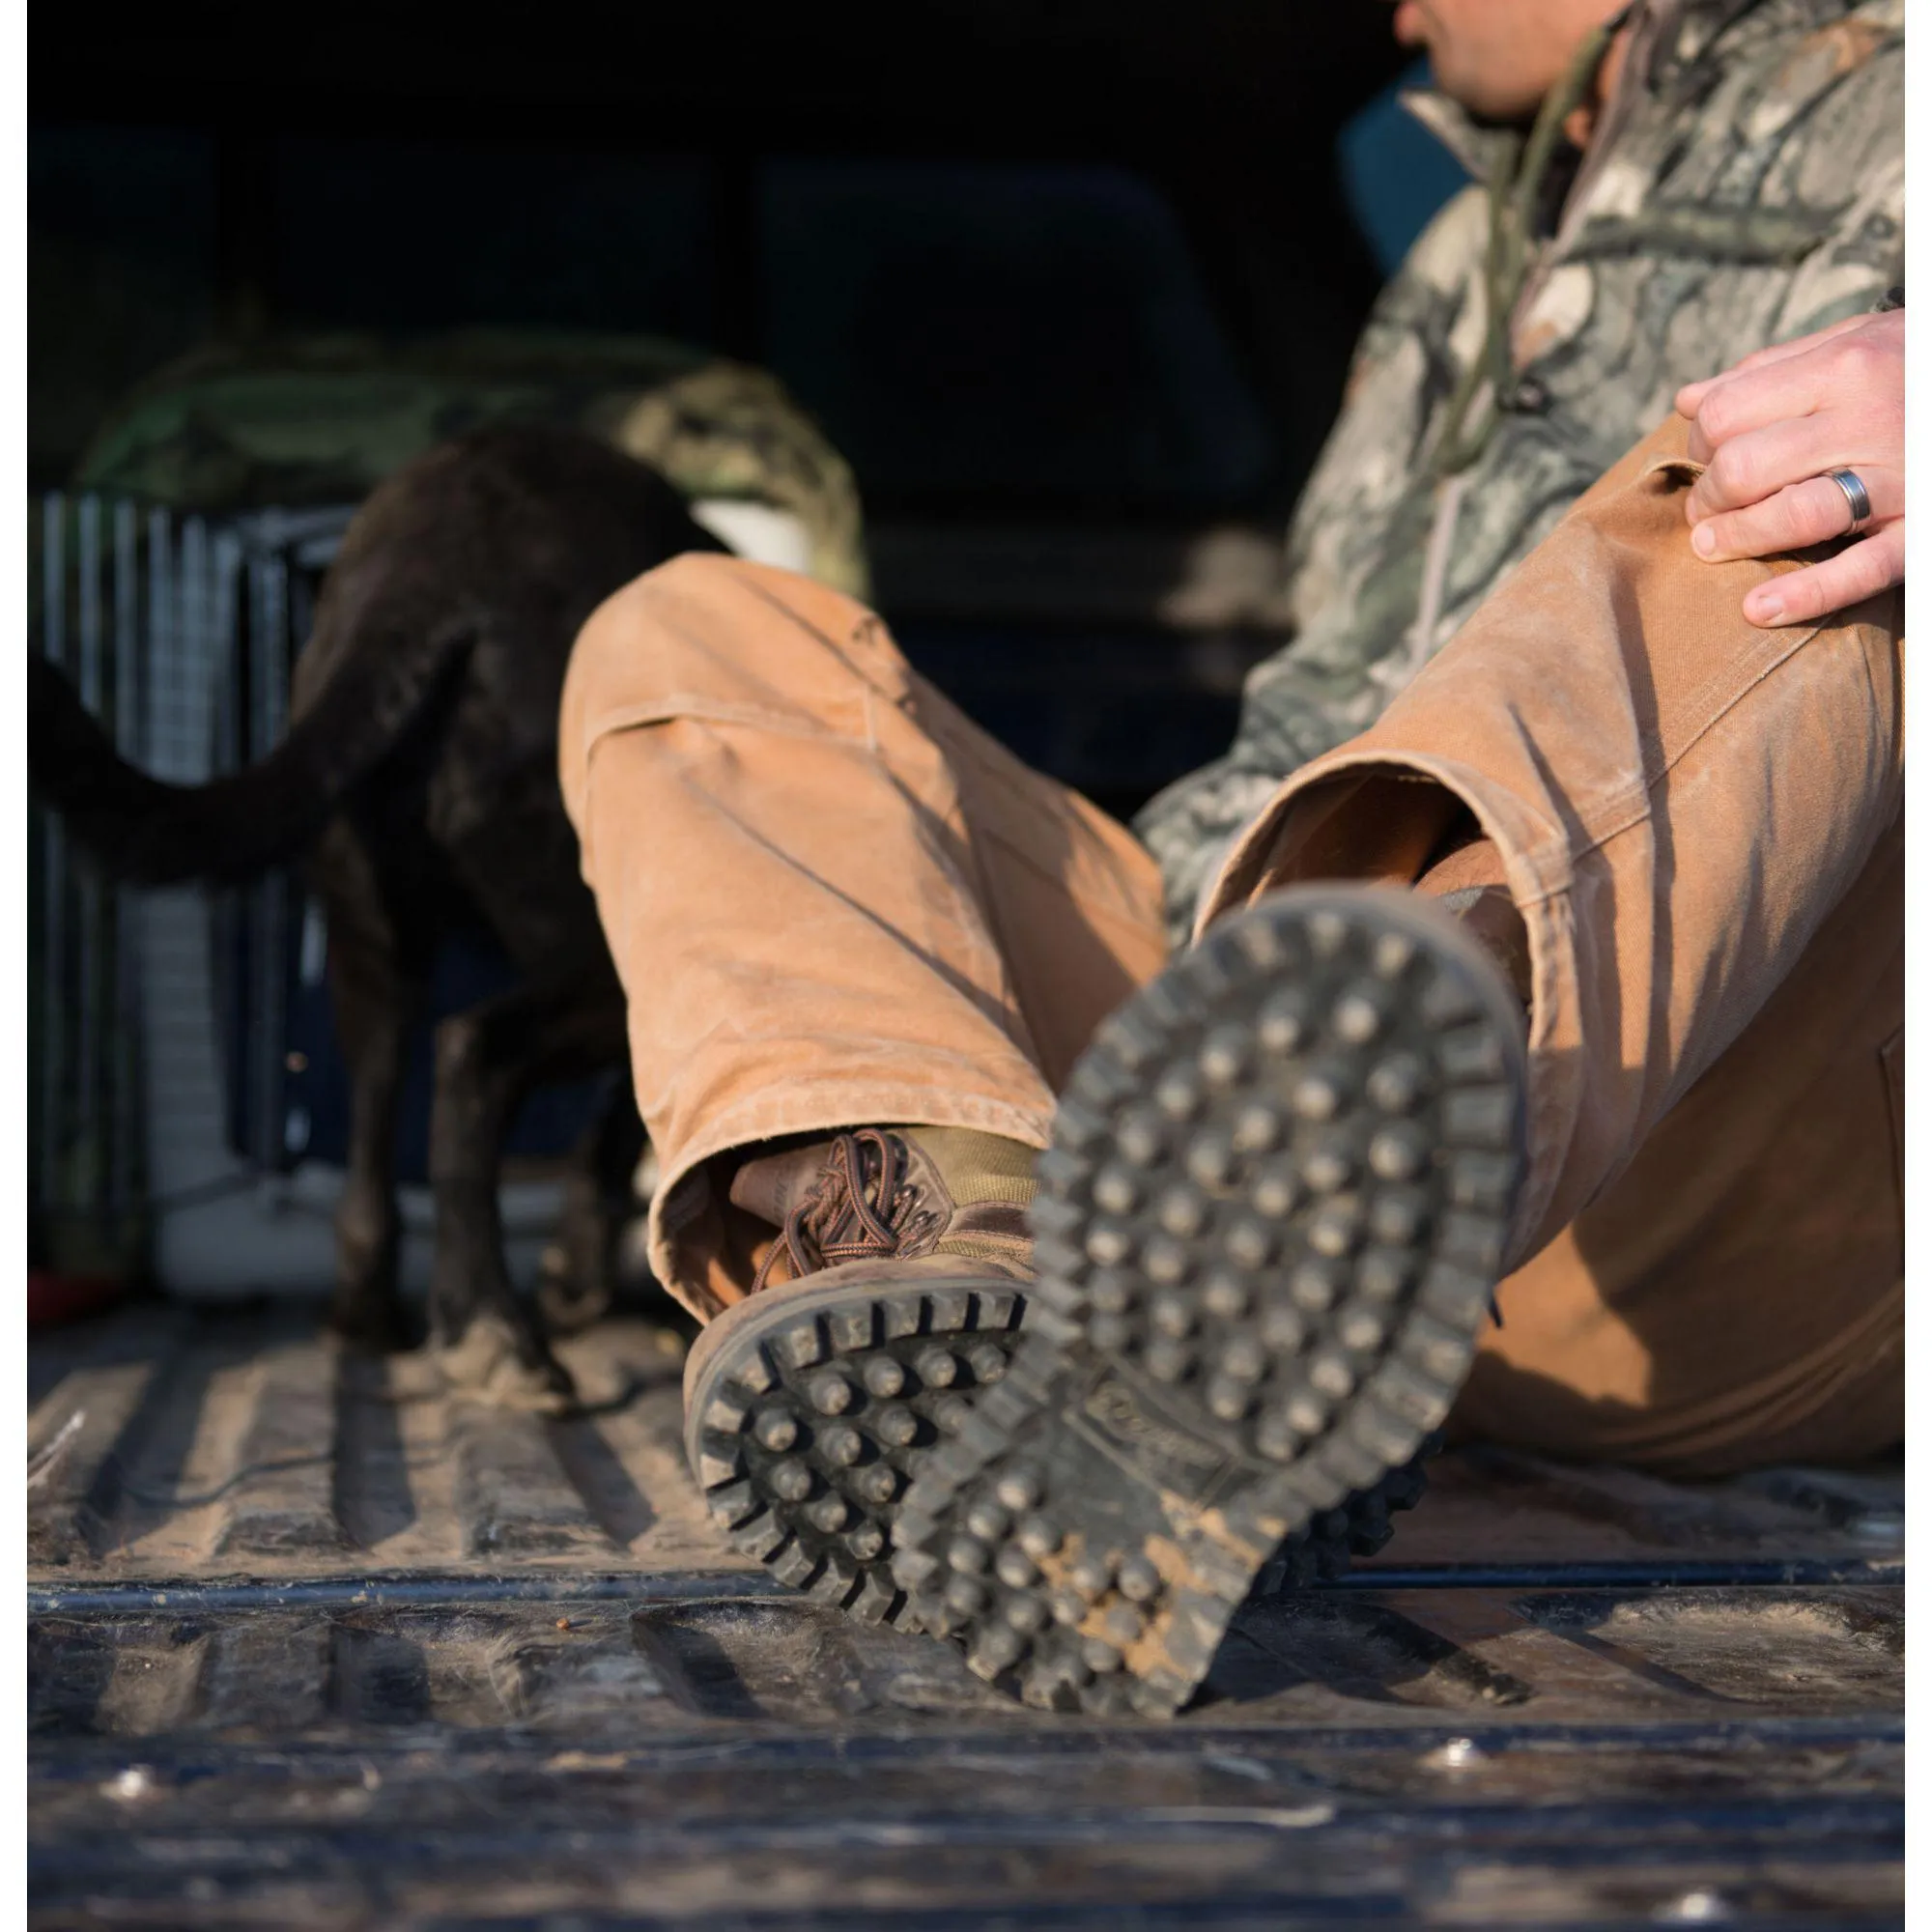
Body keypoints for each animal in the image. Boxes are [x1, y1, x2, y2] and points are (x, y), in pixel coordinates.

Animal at [30, 423, 726, 1414]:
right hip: (603, 950)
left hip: (367, 937)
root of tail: (433, 569)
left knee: (372, 1140)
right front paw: (577, 1272)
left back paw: (376, 1317)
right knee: (474, 1051)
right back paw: (493, 1332)